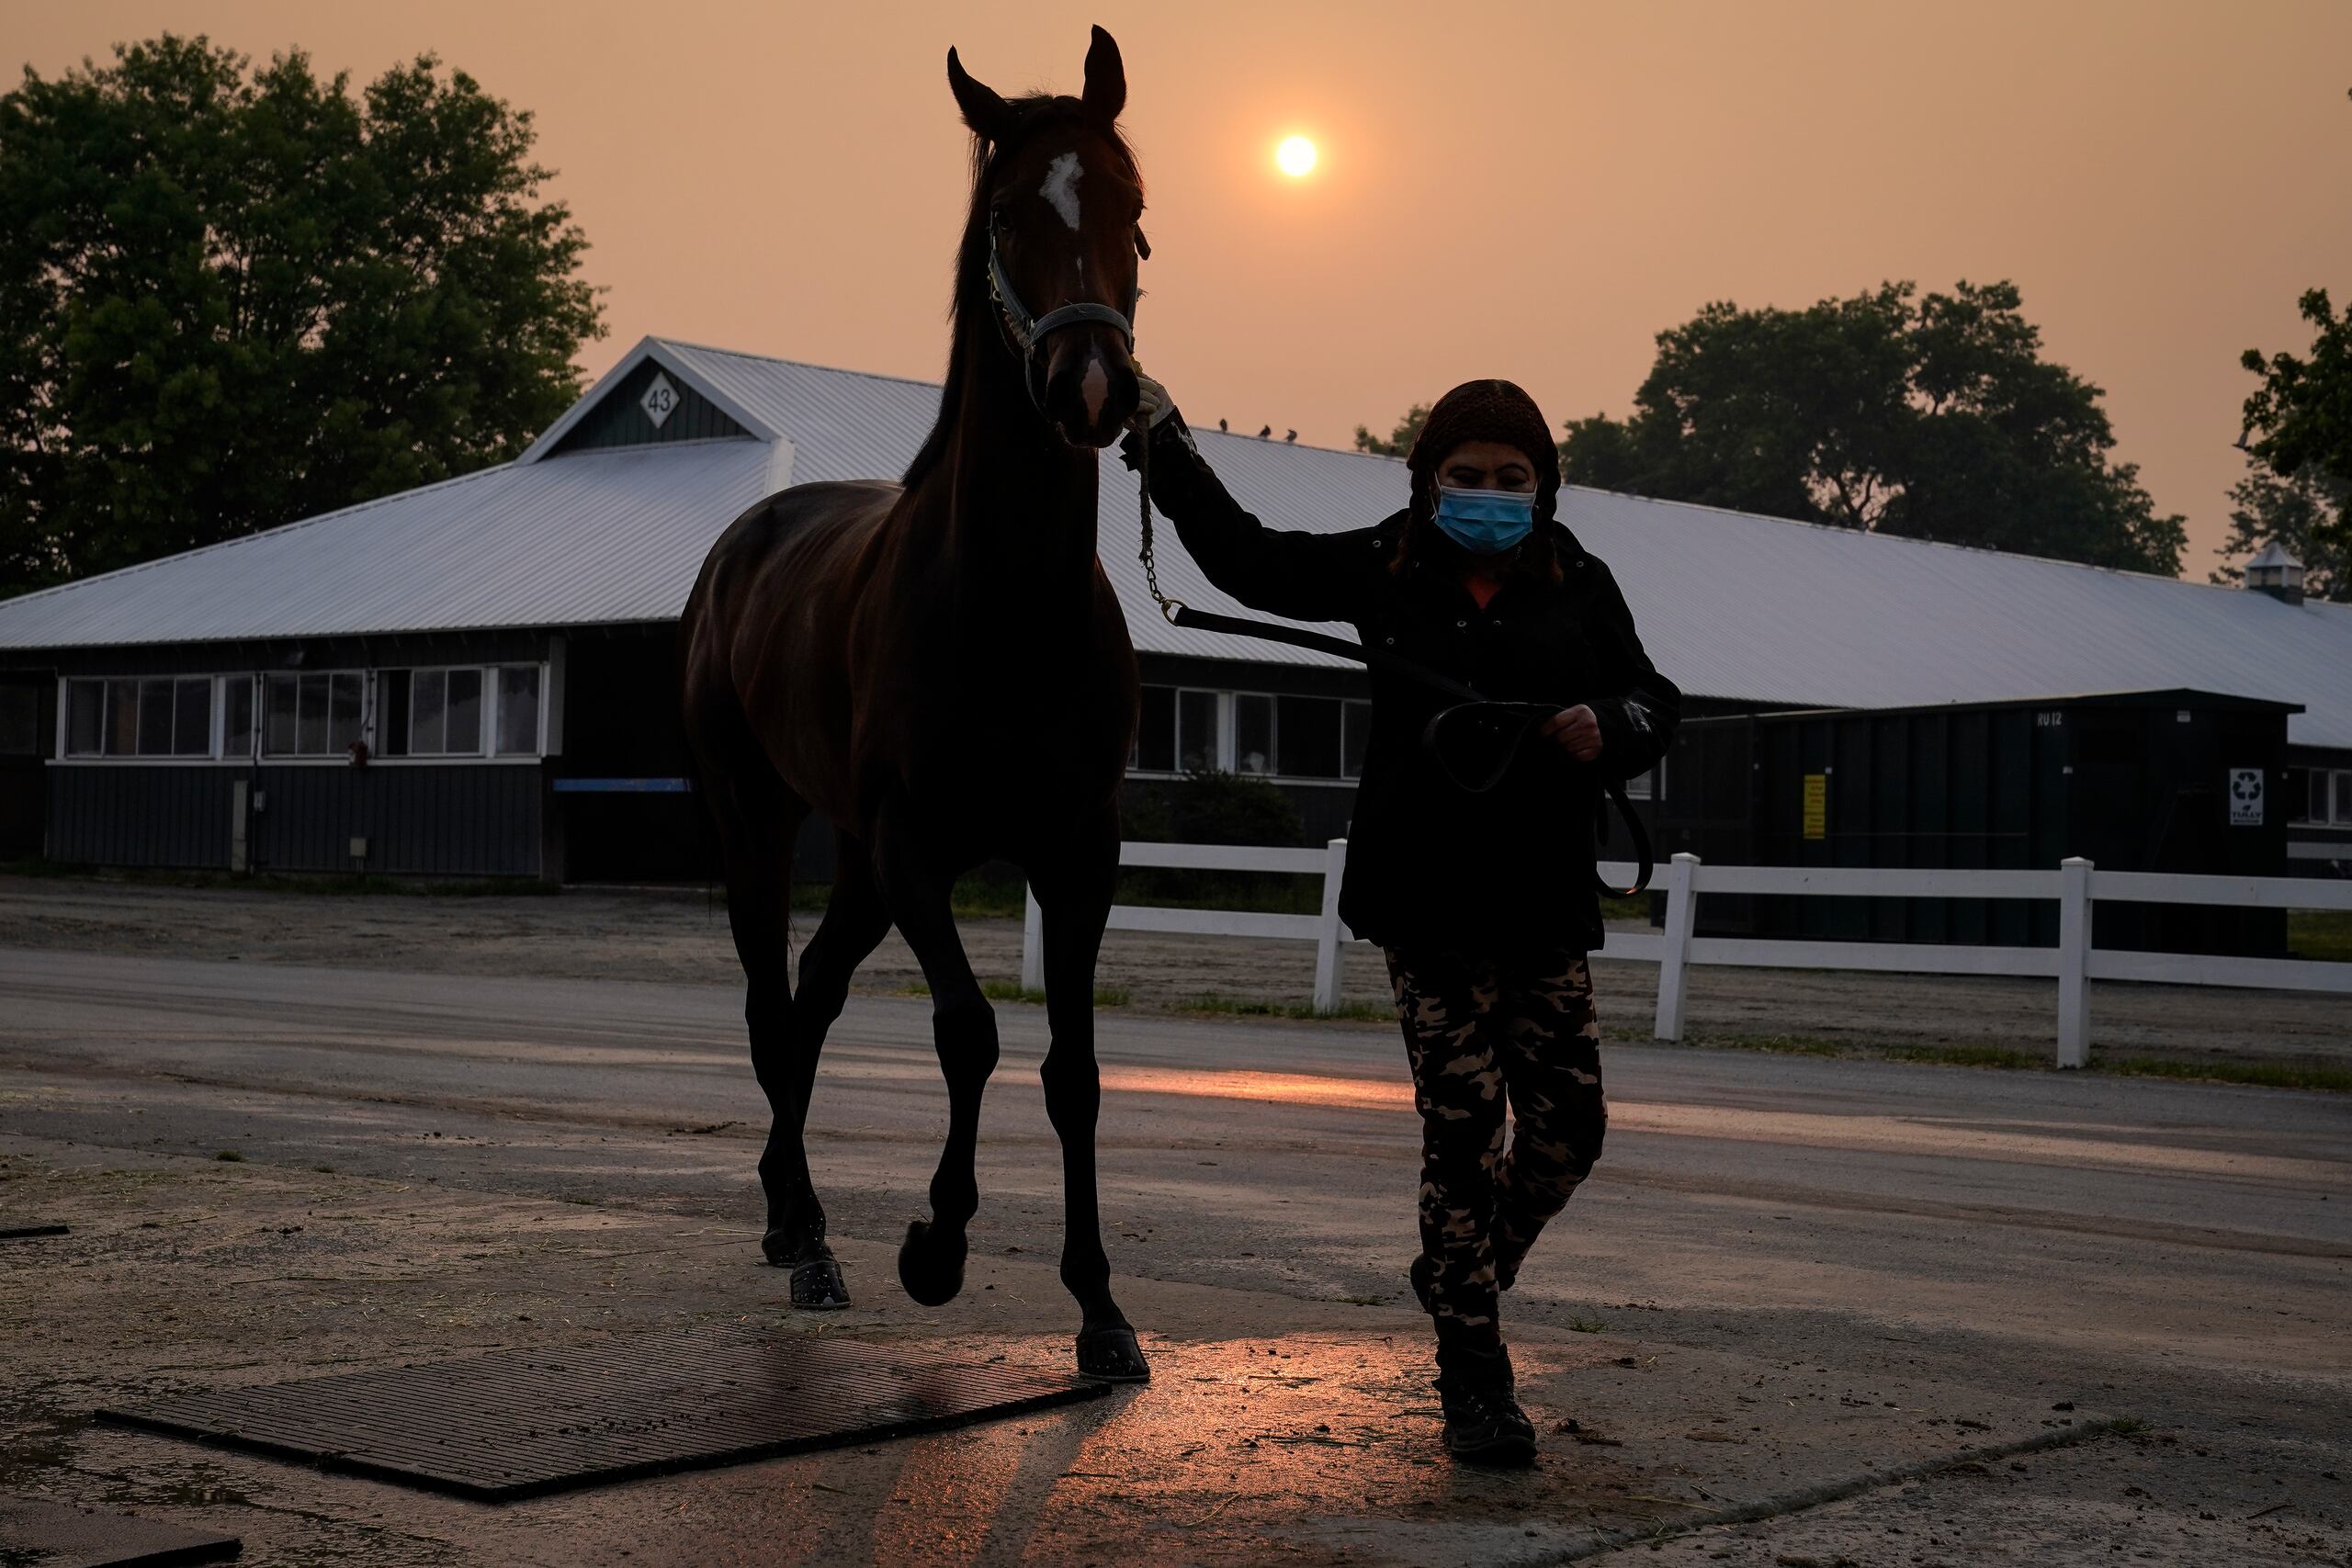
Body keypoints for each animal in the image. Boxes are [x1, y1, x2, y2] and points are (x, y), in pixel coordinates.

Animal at [677, 21, 1152, 1372]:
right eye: (1005, 213)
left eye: (1134, 207)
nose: (1089, 388)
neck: (1007, 600)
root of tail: (742, 545)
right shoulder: (916, 845)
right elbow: (968, 1031)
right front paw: (934, 1247)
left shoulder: (1078, 849)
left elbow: (1071, 1068)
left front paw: (1100, 1307)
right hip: (761, 822)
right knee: (769, 1002)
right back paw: (808, 1237)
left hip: (854, 861)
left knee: (813, 996)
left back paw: (798, 1223)